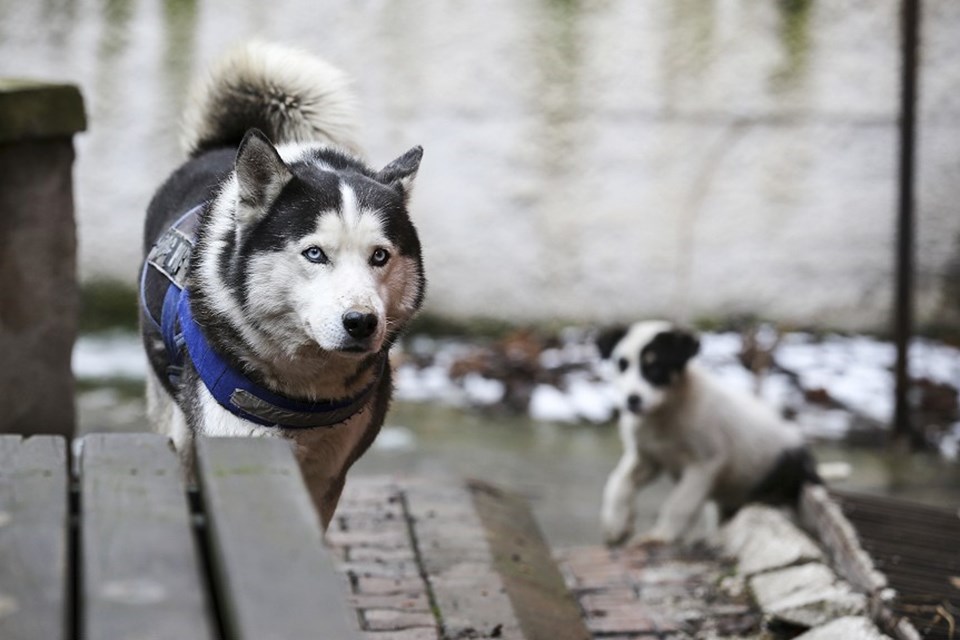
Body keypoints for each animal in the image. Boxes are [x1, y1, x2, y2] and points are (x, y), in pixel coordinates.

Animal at [139, 43, 424, 524]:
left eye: (380, 256)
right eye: (315, 253)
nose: (361, 322)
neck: (304, 391)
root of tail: (217, 148)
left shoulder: (328, 472)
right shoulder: (236, 445)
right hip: (175, 424)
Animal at [600, 320, 816, 544]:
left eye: (656, 367)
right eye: (622, 365)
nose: (632, 400)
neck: (663, 413)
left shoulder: (705, 462)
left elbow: (680, 502)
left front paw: (662, 536)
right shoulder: (647, 457)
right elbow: (618, 481)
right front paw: (616, 524)